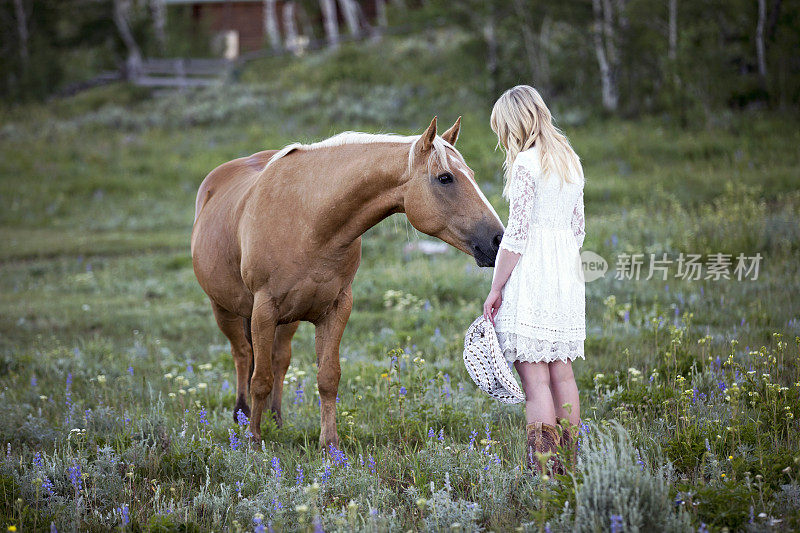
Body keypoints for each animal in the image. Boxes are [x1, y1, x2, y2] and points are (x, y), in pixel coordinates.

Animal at [193, 117, 504, 448]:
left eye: (471, 175)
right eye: (445, 178)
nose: (498, 240)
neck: (309, 223)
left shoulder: (336, 308)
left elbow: (327, 377)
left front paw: (329, 445)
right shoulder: (263, 311)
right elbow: (260, 379)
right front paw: (253, 441)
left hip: (286, 320)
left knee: (279, 360)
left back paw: (276, 419)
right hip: (224, 308)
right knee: (242, 355)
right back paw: (242, 415)